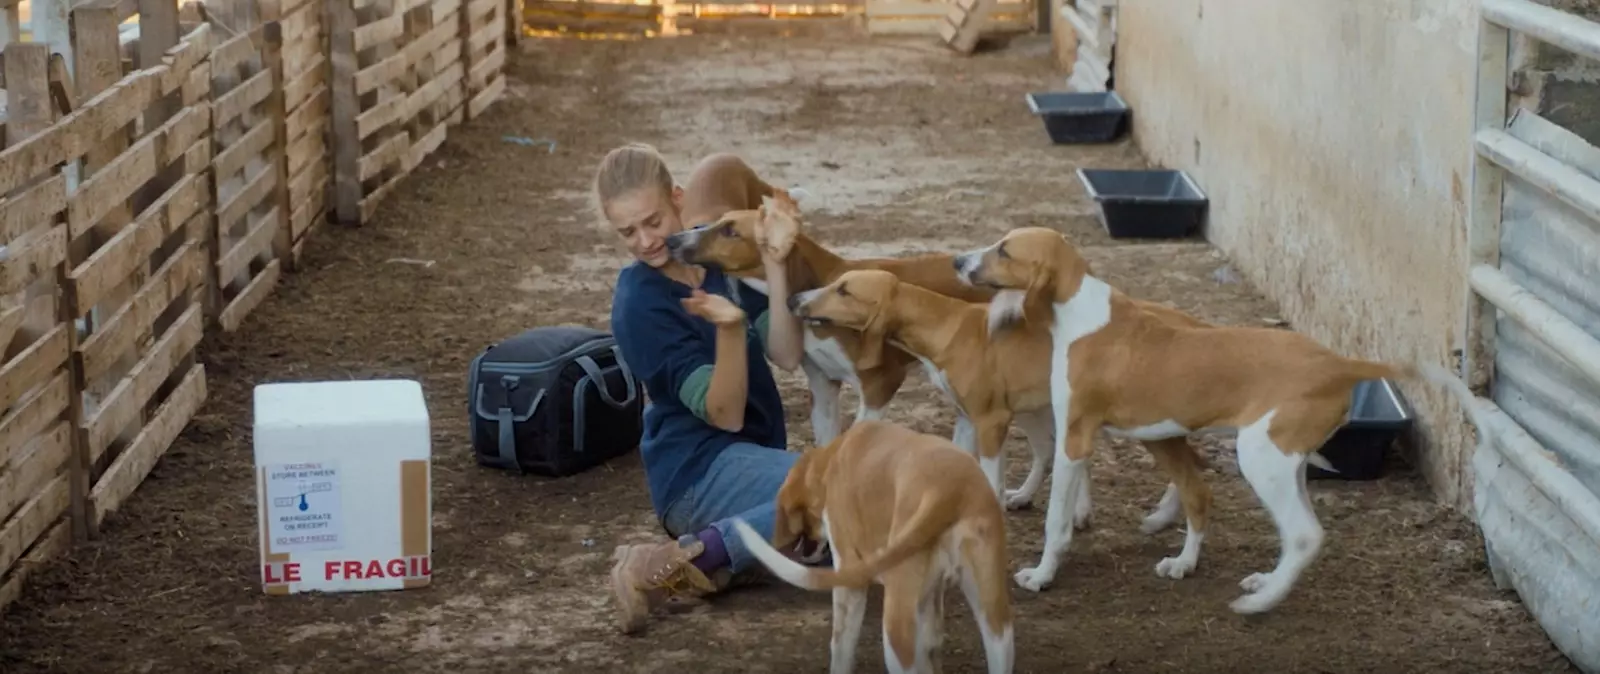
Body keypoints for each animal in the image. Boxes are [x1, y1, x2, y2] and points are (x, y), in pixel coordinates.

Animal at [729, 419, 1011, 672]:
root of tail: (949, 491)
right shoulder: (930, 600)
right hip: (996, 622)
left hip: (897, 634)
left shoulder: (849, 578)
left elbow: (840, 648)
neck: (830, 461)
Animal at [947, 225, 1484, 614]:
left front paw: (1041, 575)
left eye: (1005, 251)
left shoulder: (1074, 438)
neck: (1081, 312)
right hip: (1284, 462)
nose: (957, 262)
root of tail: (1338, 364)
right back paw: (1254, 578)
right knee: (1284, 528)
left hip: (1261, 459)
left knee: (1303, 534)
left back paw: (1261, 601)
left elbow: (1056, 519)